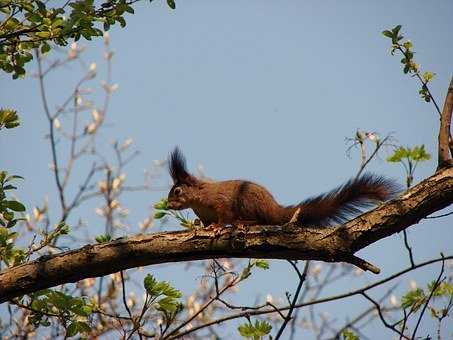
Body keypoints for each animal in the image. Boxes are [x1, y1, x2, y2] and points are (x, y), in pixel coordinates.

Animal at [164, 147, 398, 228]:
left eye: (177, 191)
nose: (167, 205)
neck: (199, 198)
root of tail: (273, 208)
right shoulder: (204, 214)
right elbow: (202, 222)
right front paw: (198, 225)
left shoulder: (220, 203)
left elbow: (224, 216)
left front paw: (217, 228)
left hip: (248, 201)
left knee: (262, 220)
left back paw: (244, 222)